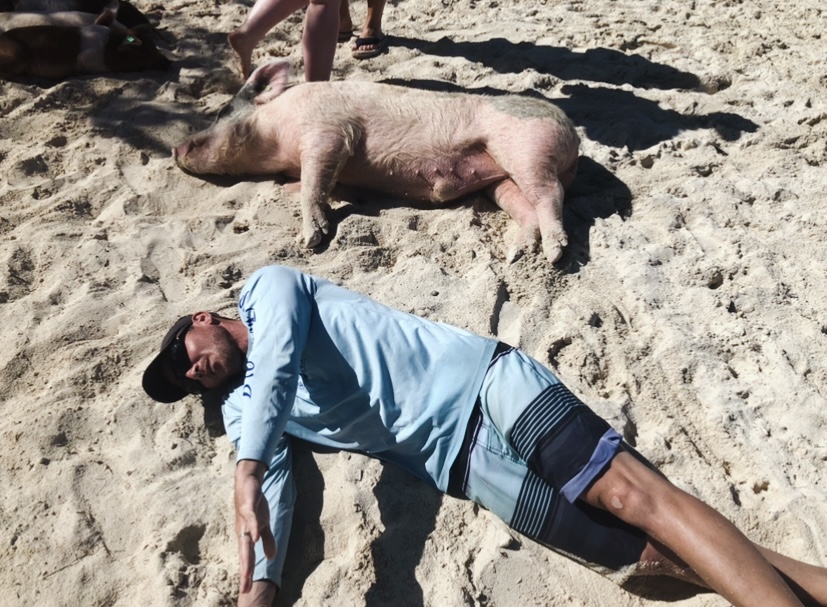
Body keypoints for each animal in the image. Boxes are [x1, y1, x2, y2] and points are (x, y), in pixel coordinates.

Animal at [174, 60, 580, 263]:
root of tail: (573, 135)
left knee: (551, 195)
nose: (176, 149)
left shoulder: (329, 130)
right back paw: (518, 255)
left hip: (527, 148)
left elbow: (315, 180)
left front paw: (310, 241)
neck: (277, 133)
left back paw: (554, 255)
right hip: (500, 179)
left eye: (223, 111)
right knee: (527, 208)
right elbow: (313, 183)